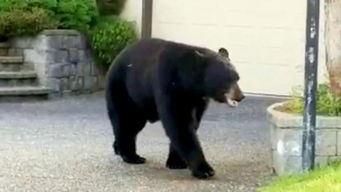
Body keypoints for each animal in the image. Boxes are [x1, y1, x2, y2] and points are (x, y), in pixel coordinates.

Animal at [105, 37, 243, 178]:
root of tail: (115, 59)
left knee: (133, 125)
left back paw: (117, 148)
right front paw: (204, 169)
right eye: (227, 79)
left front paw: (176, 162)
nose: (240, 96)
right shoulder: (169, 84)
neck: (188, 81)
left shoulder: (198, 99)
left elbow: (191, 123)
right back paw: (132, 156)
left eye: (237, 78)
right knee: (126, 121)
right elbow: (178, 123)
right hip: (123, 90)